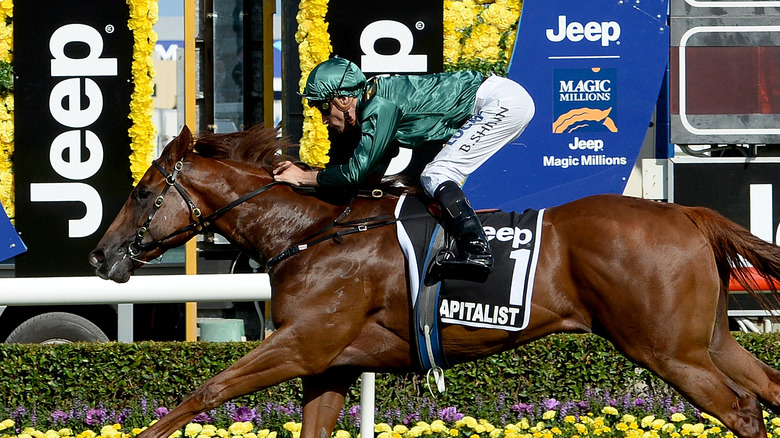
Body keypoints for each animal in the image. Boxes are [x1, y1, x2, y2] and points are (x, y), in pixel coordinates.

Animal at [91, 124, 780, 438]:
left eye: (142, 192)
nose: (100, 257)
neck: (313, 231)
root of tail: (686, 213)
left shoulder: (302, 344)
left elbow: (202, 393)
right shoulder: (331, 364)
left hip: (666, 349)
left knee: (743, 411)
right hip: (706, 339)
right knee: (766, 388)